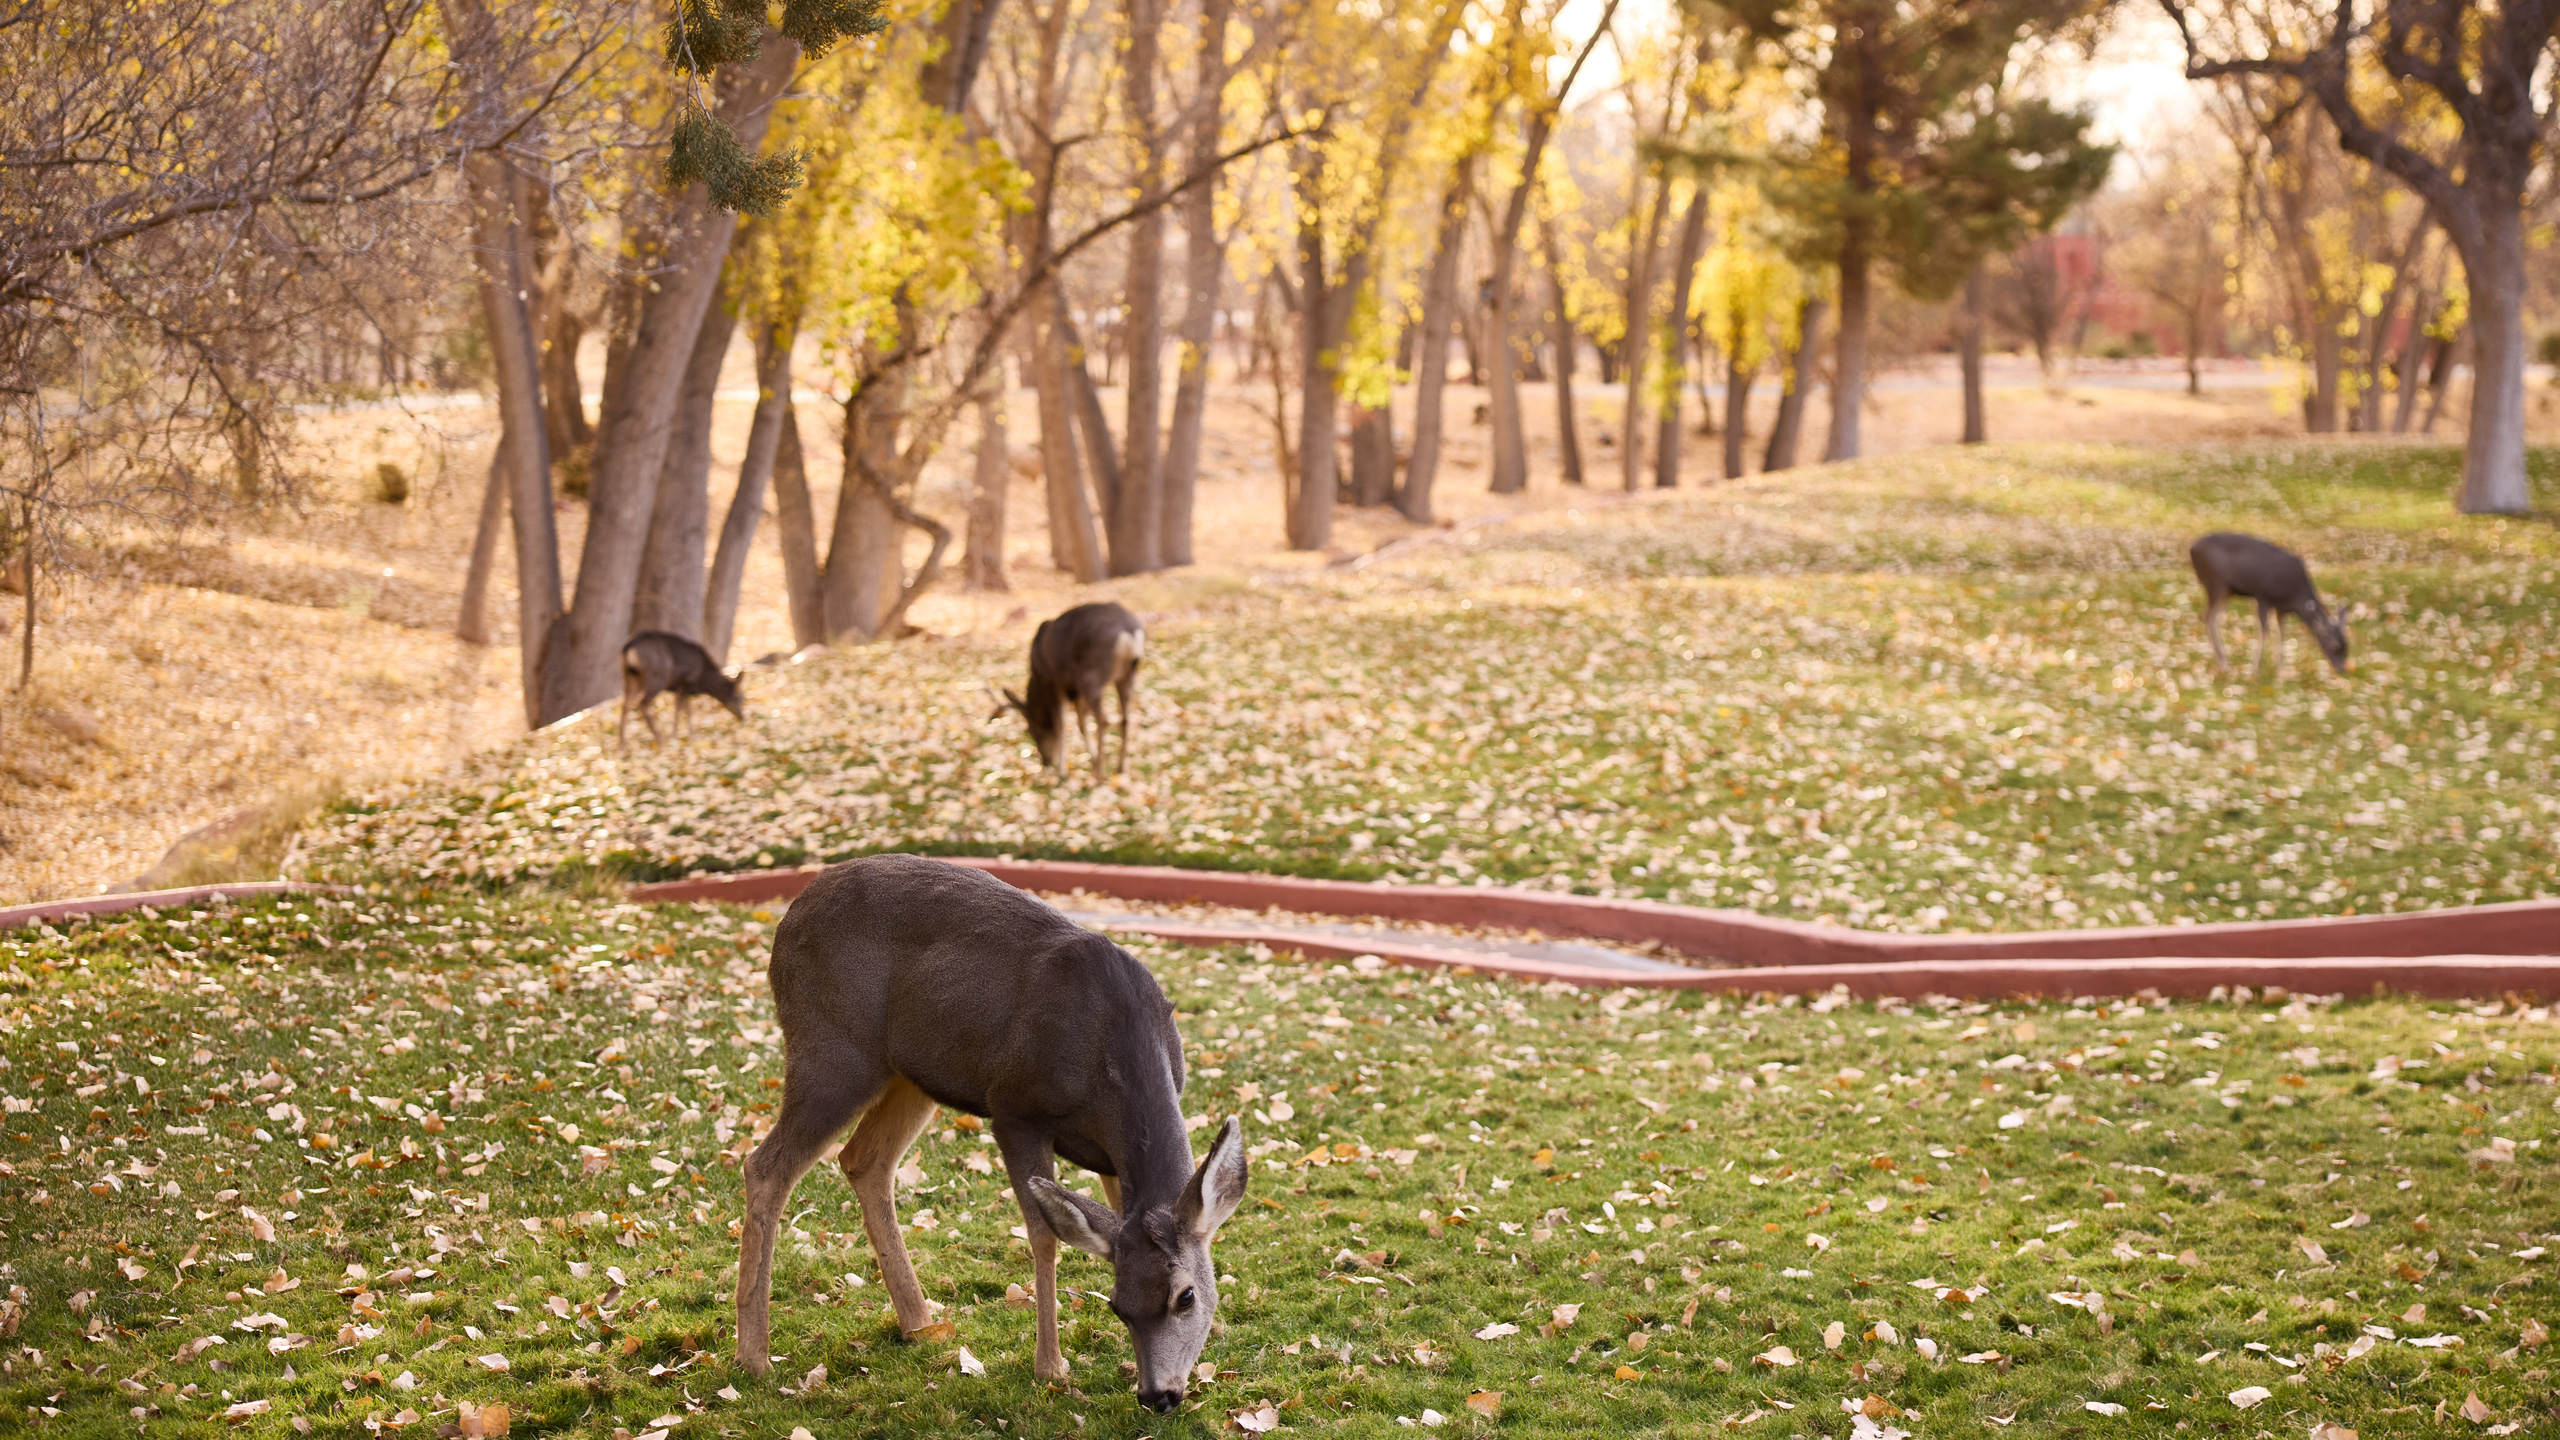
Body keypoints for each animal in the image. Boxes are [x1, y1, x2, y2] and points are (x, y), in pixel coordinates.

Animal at [616, 630, 747, 743]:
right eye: (740, 697)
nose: (742, 717)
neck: (703, 680)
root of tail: (629, 647)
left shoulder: (685, 689)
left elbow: (687, 710)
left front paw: (691, 736)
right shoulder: (685, 684)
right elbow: (680, 710)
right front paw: (675, 737)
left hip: (631, 676)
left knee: (626, 705)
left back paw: (622, 746)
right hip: (658, 676)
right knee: (643, 704)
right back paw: (660, 740)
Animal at [732, 845, 1249, 1404]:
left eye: (1186, 1296)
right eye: (1118, 1306)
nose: (1159, 1394)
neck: (1112, 1048)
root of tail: (787, 919)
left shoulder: (1113, 1158)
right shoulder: (1015, 1111)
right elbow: (1044, 1236)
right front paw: (1050, 1366)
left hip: (911, 1075)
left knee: (864, 1159)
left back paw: (922, 1323)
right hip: (832, 1051)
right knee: (766, 1166)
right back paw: (754, 1357)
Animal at [993, 594, 1146, 773]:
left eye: (1031, 731)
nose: (1046, 761)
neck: (1037, 678)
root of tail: (1129, 634)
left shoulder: (1054, 682)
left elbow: (1060, 724)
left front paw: (1062, 772)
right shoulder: (1075, 690)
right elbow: (1081, 723)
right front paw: (1091, 759)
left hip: (1091, 676)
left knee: (1104, 720)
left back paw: (1099, 773)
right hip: (1126, 676)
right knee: (1125, 718)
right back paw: (1120, 768)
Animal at [2181, 532, 2355, 676]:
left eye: (2347, 646)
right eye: (2333, 646)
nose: (2342, 670)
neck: (2295, 595)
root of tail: (2192, 550)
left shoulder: (2281, 608)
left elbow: (2282, 632)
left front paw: (2280, 670)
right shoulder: (2263, 596)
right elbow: (2264, 631)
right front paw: (2255, 669)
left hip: (2227, 590)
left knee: (2211, 617)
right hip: (2217, 583)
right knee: (2210, 617)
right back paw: (2224, 664)